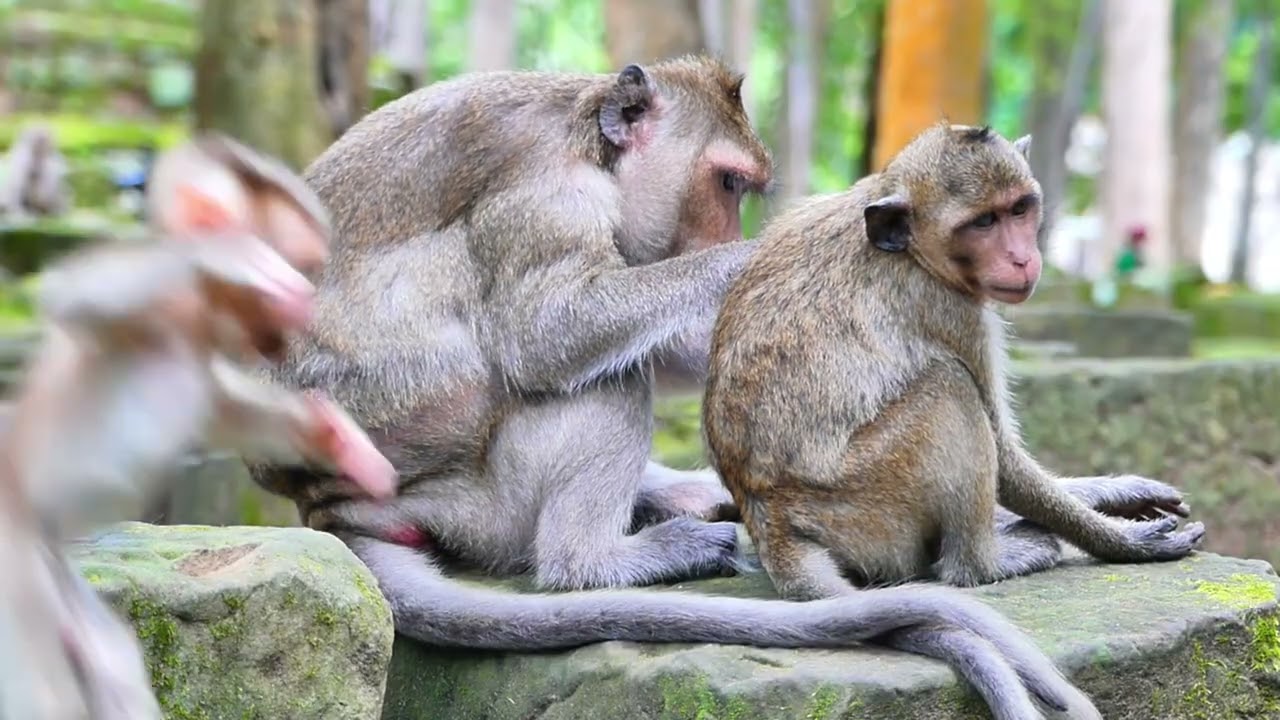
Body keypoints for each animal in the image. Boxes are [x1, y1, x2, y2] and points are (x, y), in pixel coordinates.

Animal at [241, 56, 1139, 719]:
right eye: (729, 184)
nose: (730, 230)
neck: (587, 136)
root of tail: (328, 508)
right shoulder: (545, 191)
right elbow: (544, 333)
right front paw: (747, 261)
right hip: (474, 502)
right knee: (600, 382)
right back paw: (599, 561)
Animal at [701, 123, 1203, 715]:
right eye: (982, 223)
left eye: (1018, 209)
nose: (1021, 259)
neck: (911, 251)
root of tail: (768, 518)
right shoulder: (947, 308)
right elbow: (1005, 459)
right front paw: (1123, 543)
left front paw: (1117, 492)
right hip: (865, 503)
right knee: (949, 387)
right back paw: (988, 562)